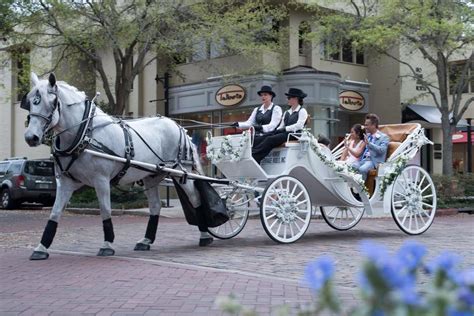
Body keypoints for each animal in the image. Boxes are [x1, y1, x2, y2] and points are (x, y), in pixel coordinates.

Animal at [22, 73, 213, 260]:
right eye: (30, 102)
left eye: (52, 103)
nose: (31, 137)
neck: (85, 133)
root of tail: (178, 125)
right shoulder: (65, 182)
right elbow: (54, 213)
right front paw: (41, 248)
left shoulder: (101, 180)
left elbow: (105, 210)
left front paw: (107, 245)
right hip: (151, 176)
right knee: (155, 206)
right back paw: (146, 241)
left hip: (182, 172)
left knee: (195, 198)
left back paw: (205, 235)